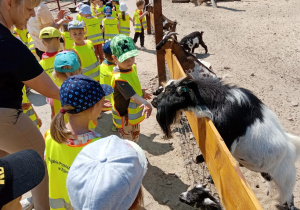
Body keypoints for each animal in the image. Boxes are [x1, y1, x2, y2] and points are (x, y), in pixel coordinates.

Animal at [151, 74, 300, 209]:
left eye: (169, 90)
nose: (153, 102)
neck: (219, 100)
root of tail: (292, 152)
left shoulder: (226, 137)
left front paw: (199, 160)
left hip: (286, 180)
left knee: (289, 196)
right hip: (268, 174)